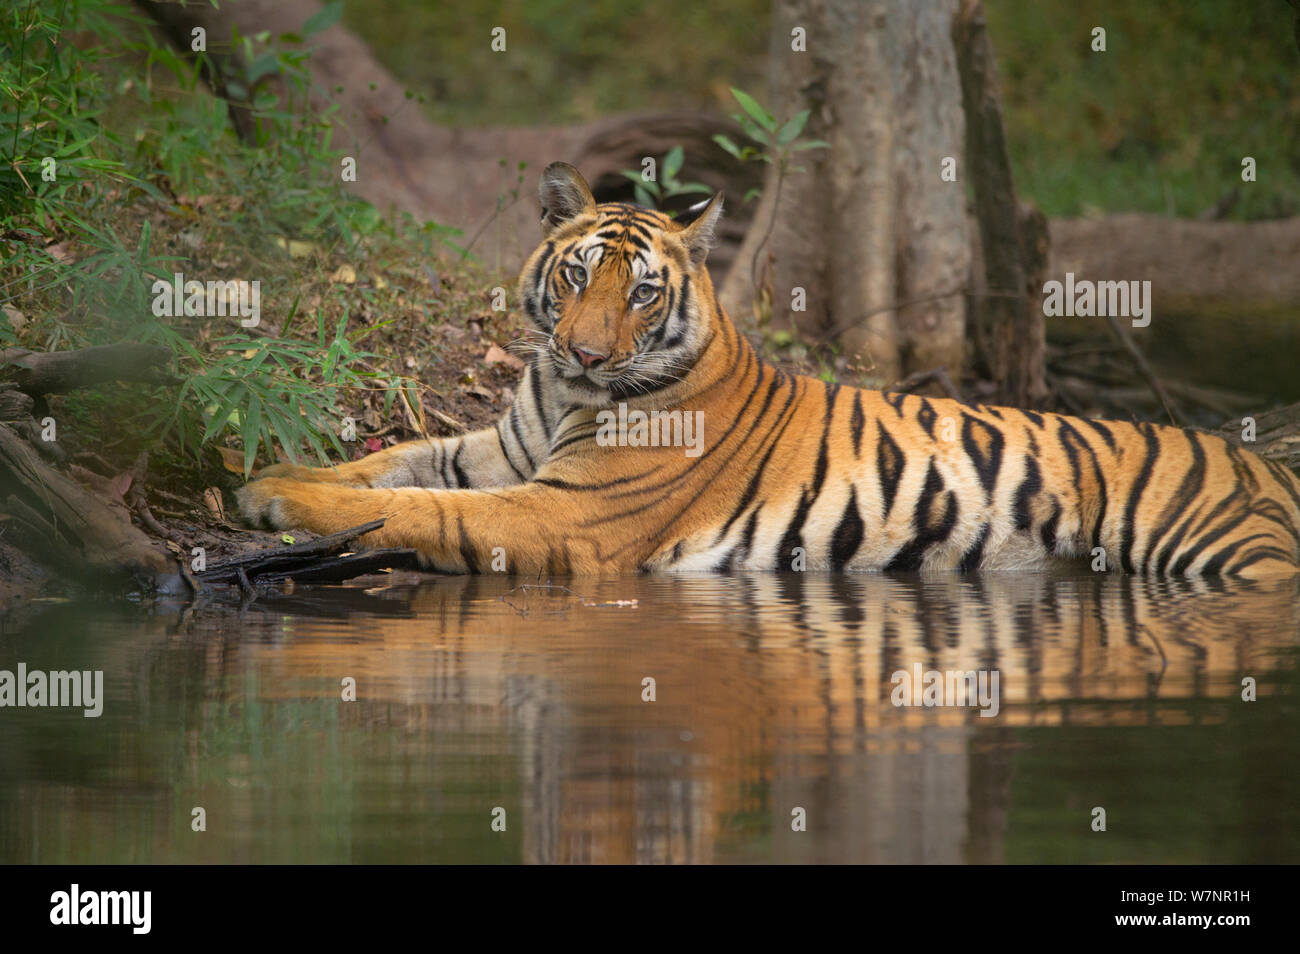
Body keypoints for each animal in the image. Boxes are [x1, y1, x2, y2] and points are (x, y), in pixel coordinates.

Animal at [237, 161, 1300, 579]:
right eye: (578, 274)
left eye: (644, 293)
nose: (585, 352)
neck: (564, 393)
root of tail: (1264, 459)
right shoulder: (499, 451)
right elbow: (388, 465)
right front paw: (266, 476)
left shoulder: (563, 514)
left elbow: (422, 508)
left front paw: (279, 503)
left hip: (1230, 552)